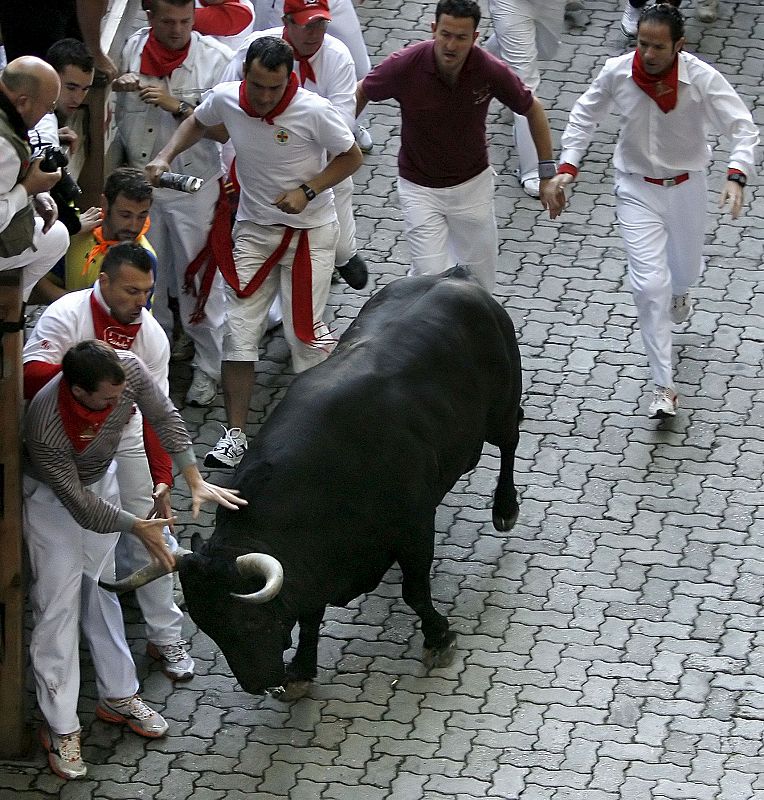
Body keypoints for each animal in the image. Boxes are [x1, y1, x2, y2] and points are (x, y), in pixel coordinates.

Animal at [109, 268, 524, 692]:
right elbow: (310, 615)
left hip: (503, 405)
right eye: (210, 628)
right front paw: (302, 667)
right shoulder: (315, 566)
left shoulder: (415, 526)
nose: (258, 683)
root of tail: (451, 277)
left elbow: (416, 593)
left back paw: (505, 508)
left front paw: (439, 637)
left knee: (510, 441)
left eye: (249, 620)